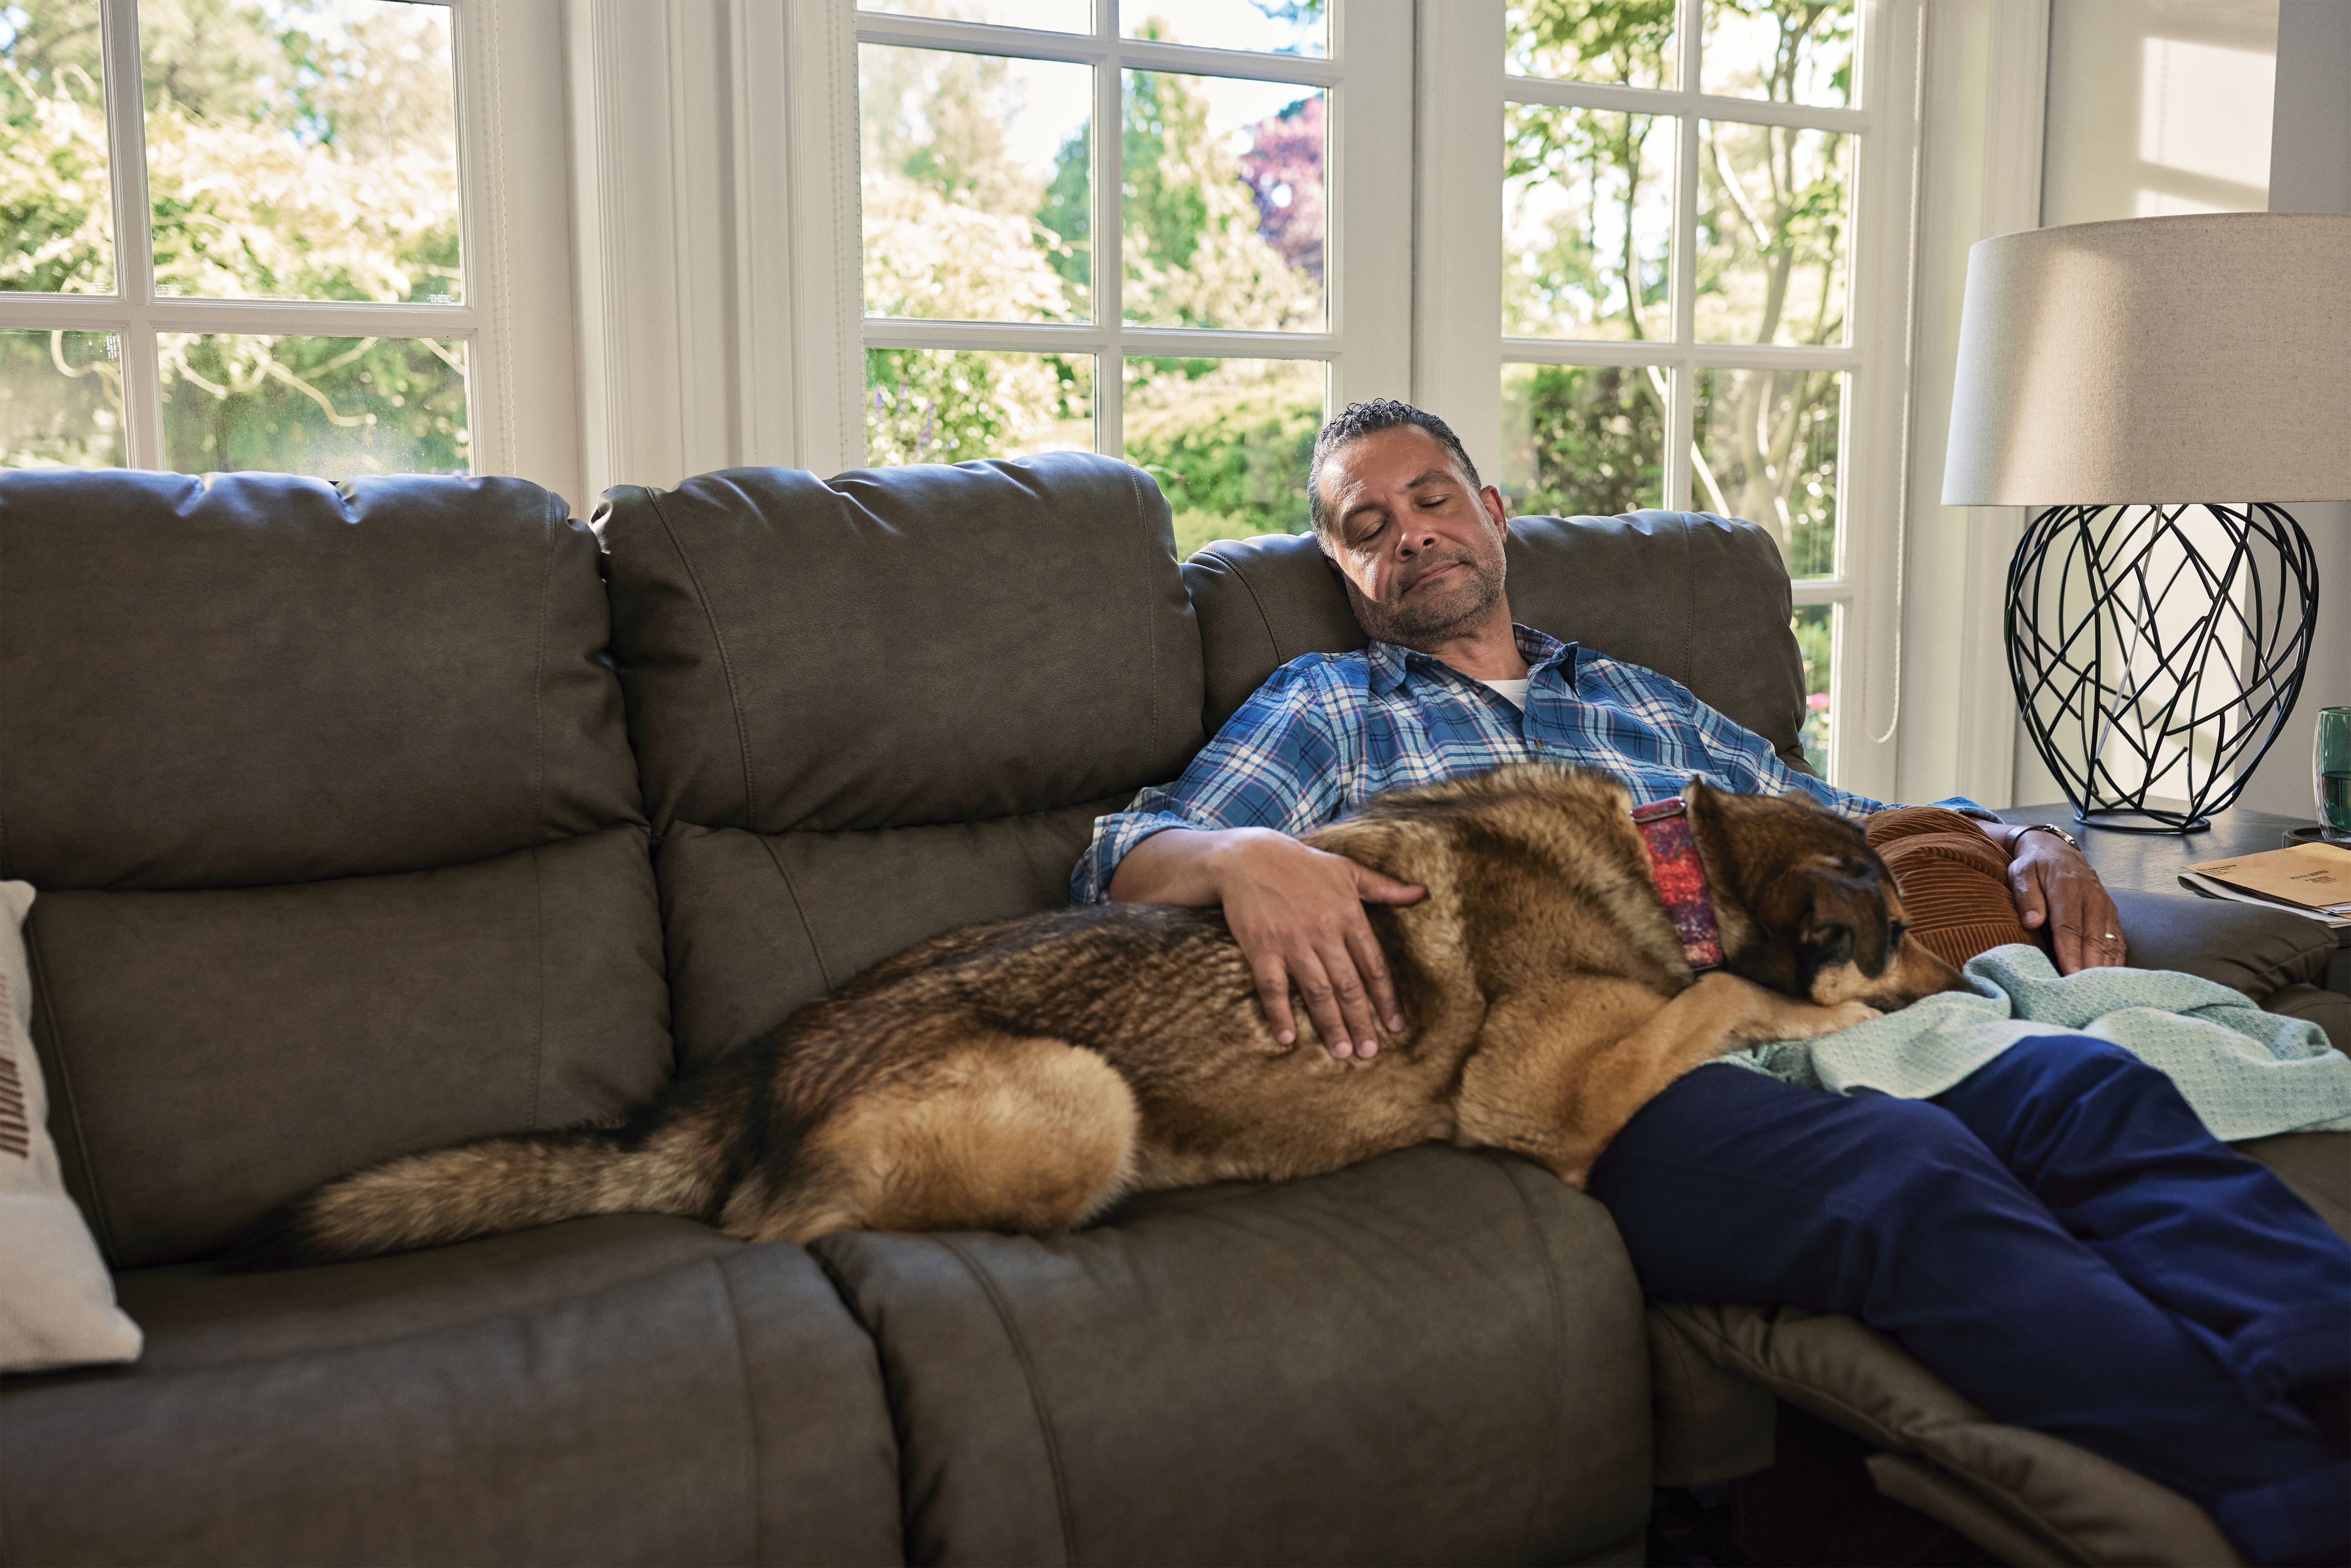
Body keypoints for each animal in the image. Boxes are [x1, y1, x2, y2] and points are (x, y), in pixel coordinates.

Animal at [229, 771, 1965, 1279]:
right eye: (1887, 929)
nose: (1966, 964)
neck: (1684, 852)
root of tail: (762, 1070)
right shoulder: (1539, 1092)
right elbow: (1722, 996)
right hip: (1079, 1097)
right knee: (778, 1225)